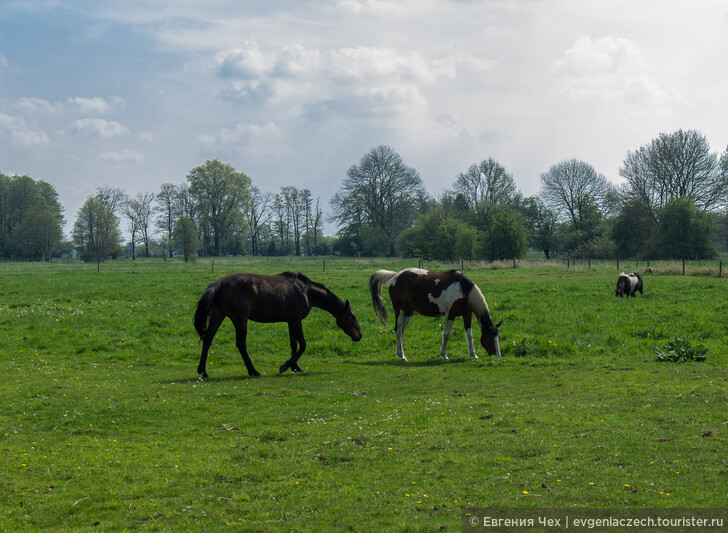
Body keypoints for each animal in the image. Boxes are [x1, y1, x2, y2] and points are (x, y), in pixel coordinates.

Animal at [195, 272, 362, 376]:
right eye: (353, 317)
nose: (359, 336)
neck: (306, 292)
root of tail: (219, 283)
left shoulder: (290, 321)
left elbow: (293, 345)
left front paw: (295, 367)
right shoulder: (296, 321)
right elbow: (303, 345)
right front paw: (286, 365)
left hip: (219, 315)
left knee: (208, 339)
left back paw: (203, 371)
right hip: (240, 319)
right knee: (241, 343)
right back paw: (253, 371)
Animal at [370, 266, 500, 362]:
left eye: (498, 337)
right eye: (489, 337)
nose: (498, 355)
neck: (463, 291)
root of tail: (396, 275)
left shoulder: (467, 315)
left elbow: (469, 335)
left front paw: (473, 354)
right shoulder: (450, 315)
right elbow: (446, 335)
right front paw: (444, 355)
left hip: (408, 311)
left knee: (401, 331)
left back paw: (399, 353)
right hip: (399, 309)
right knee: (397, 330)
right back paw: (402, 356)